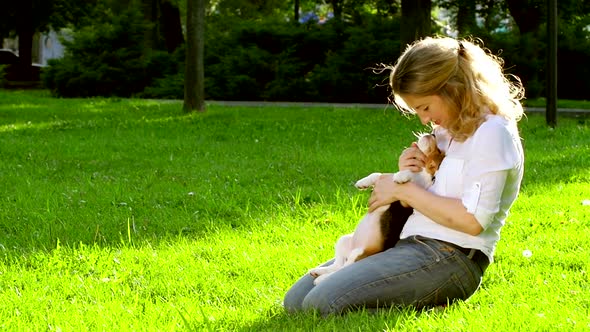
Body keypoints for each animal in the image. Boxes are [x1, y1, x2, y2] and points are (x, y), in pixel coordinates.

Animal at [310, 134, 444, 284]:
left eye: (438, 150)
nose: (432, 134)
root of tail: (351, 251)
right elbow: (378, 174)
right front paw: (362, 183)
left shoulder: (408, 200)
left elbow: (409, 177)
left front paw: (401, 176)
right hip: (343, 240)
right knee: (337, 265)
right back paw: (318, 271)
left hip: (358, 254)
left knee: (342, 269)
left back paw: (321, 279)